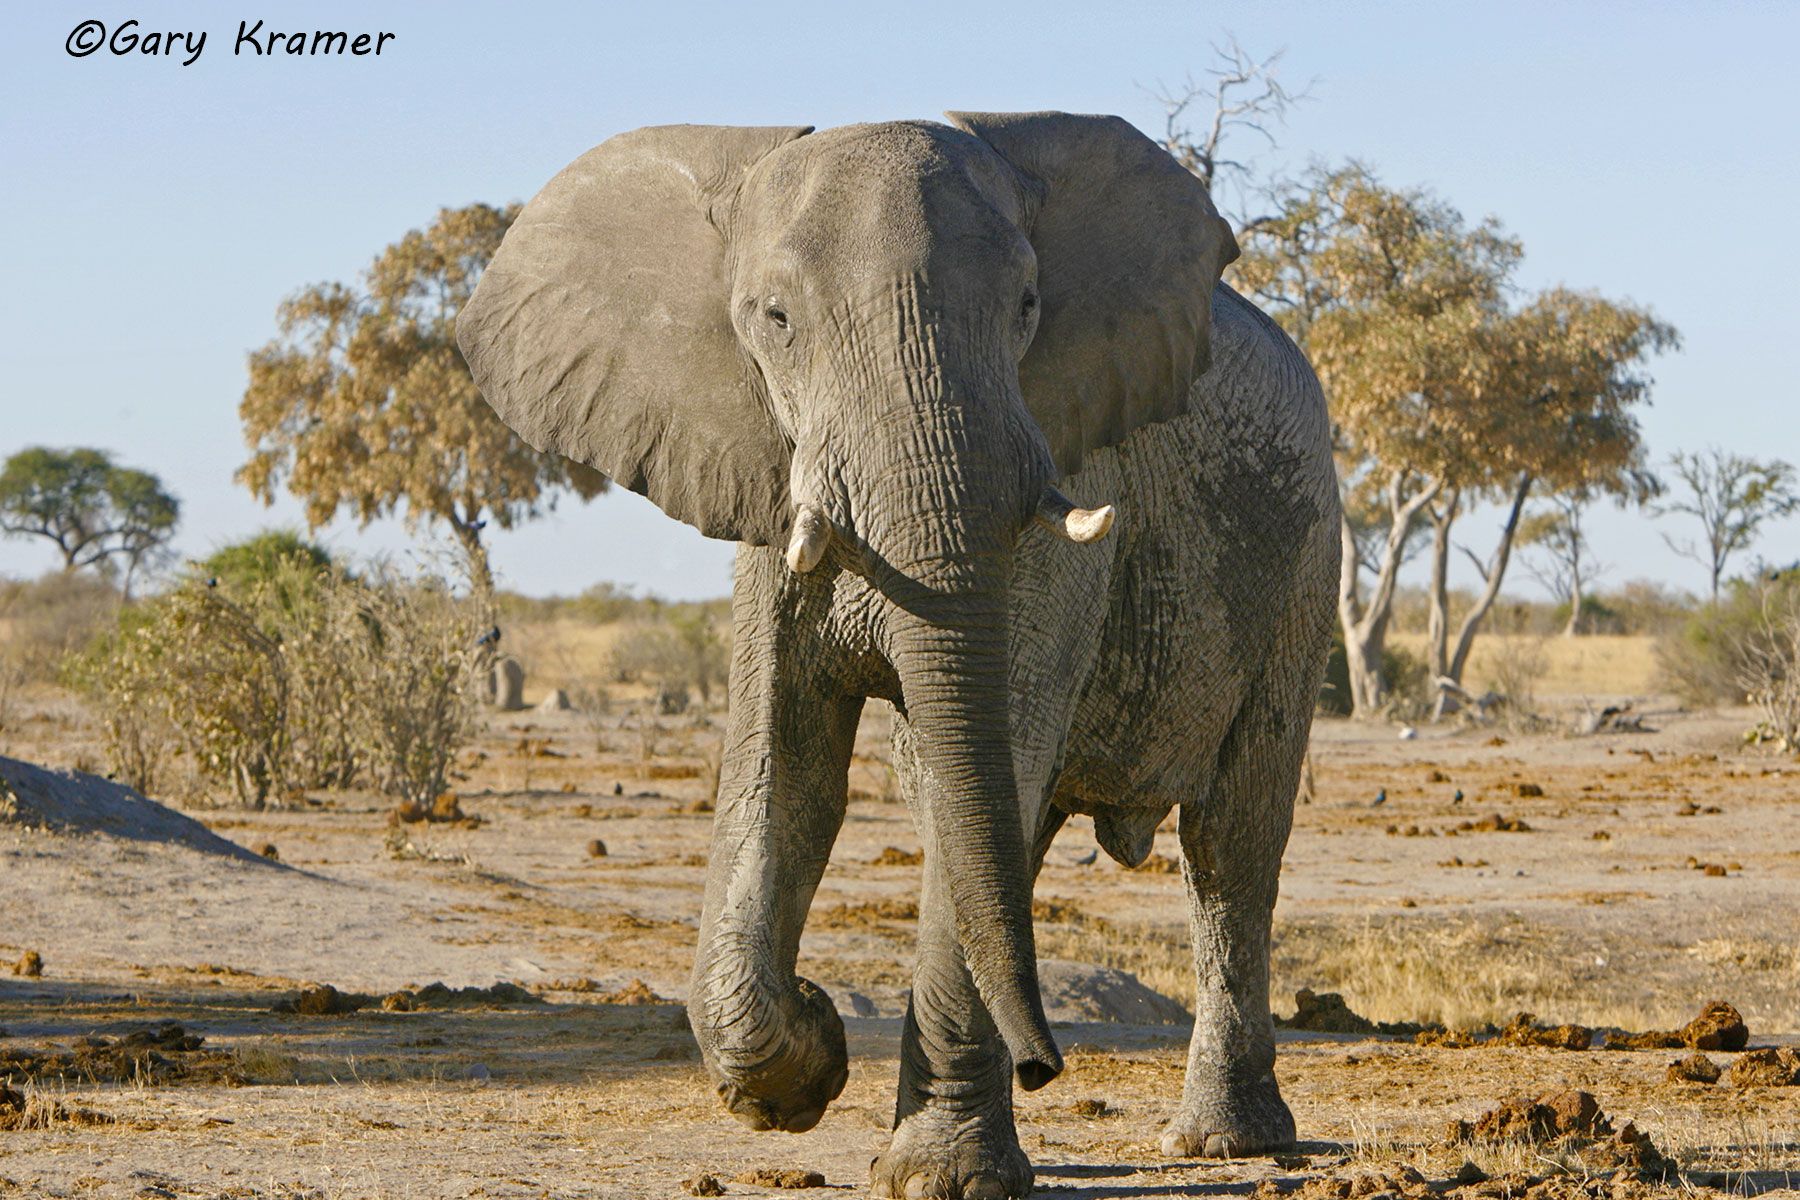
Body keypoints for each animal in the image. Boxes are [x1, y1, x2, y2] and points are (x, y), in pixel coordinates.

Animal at [458, 113, 1340, 1199]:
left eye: (1028, 306)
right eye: (775, 319)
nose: (1050, 1067)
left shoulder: (1063, 483)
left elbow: (987, 761)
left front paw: (939, 1176)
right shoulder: (770, 484)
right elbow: (785, 771)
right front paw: (806, 1063)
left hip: (1306, 555)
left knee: (1228, 844)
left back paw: (1228, 1144)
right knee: (1000, 823)